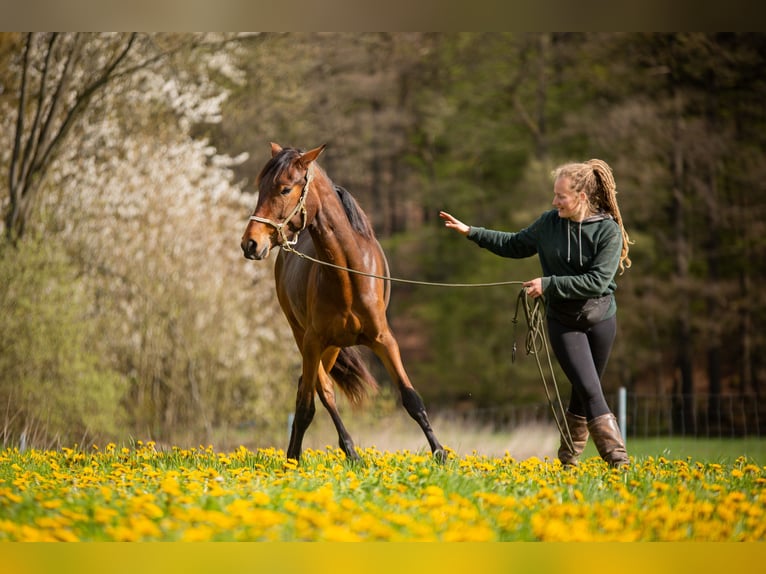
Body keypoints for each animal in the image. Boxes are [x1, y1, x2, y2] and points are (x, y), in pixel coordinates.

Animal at [238, 143, 444, 464]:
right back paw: (332, 451)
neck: (347, 274)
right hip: (305, 337)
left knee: (307, 386)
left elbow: (411, 397)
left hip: (333, 347)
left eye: (284, 189)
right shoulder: (312, 342)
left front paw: (441, 454)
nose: (250, 243)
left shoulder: (384, 339)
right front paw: (304, 457)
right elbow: (312, 403)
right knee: (316, 391)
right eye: (260, 188)